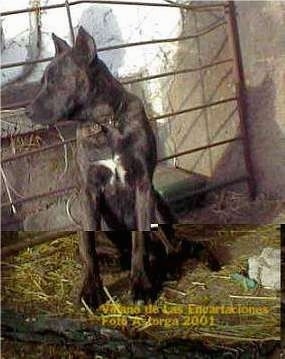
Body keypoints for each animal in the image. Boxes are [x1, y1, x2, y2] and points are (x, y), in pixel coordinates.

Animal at [26, 27, 178, 310]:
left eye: (55, 81)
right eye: (42, 81)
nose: (27, 112)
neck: (105, 123)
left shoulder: (142, 185)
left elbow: (140, 241)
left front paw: (141, 285)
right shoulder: (89, 192)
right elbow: (89, 249)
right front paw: (91, 289)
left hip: (158, 206)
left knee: (166, 245)